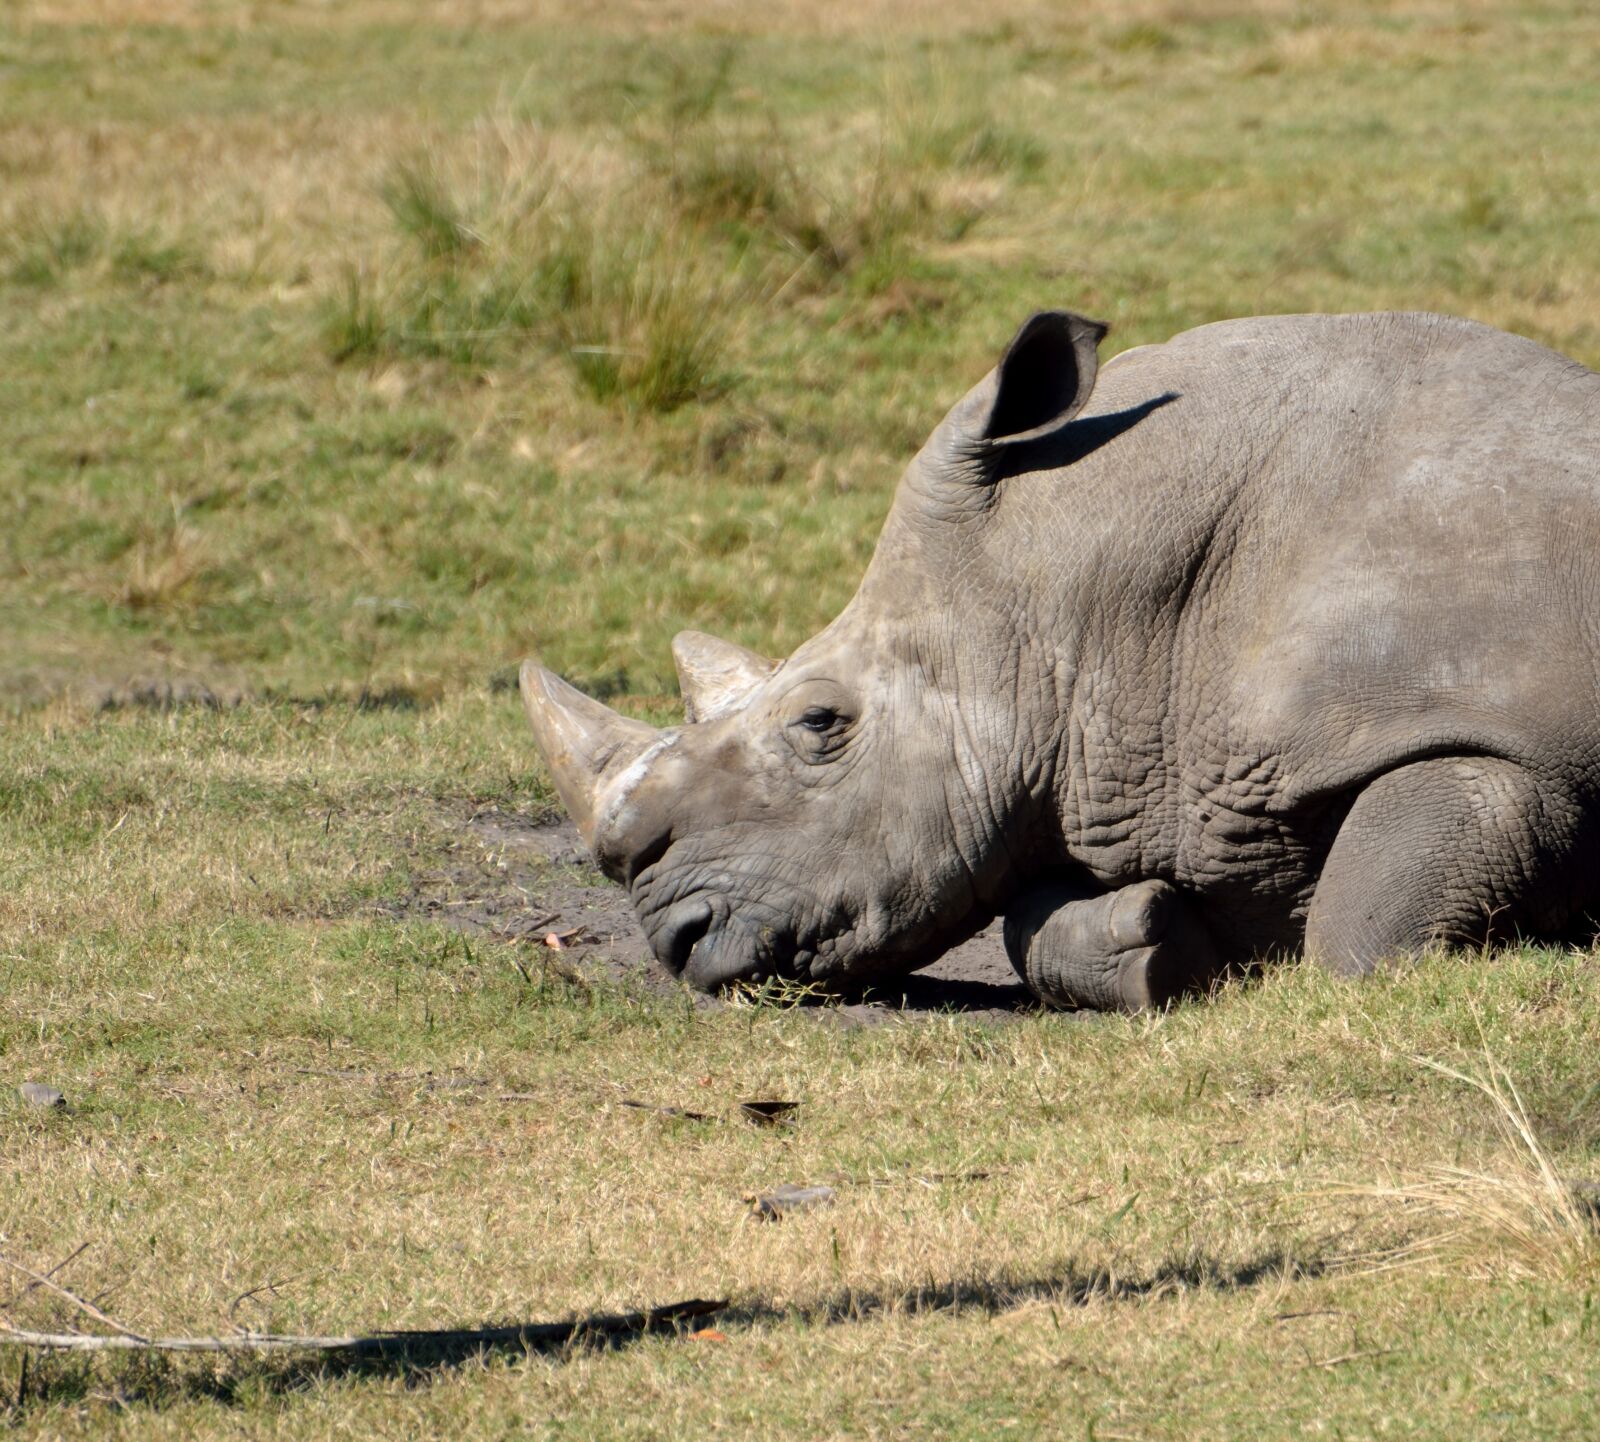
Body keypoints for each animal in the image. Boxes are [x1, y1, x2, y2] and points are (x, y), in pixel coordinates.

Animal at [520, 309, 1600, 1011]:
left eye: (821, 722)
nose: (678, 939)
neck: (1079, 597)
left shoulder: (1497, 730)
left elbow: (1359, 934)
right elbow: (1028, 917)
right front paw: (1157, 946)